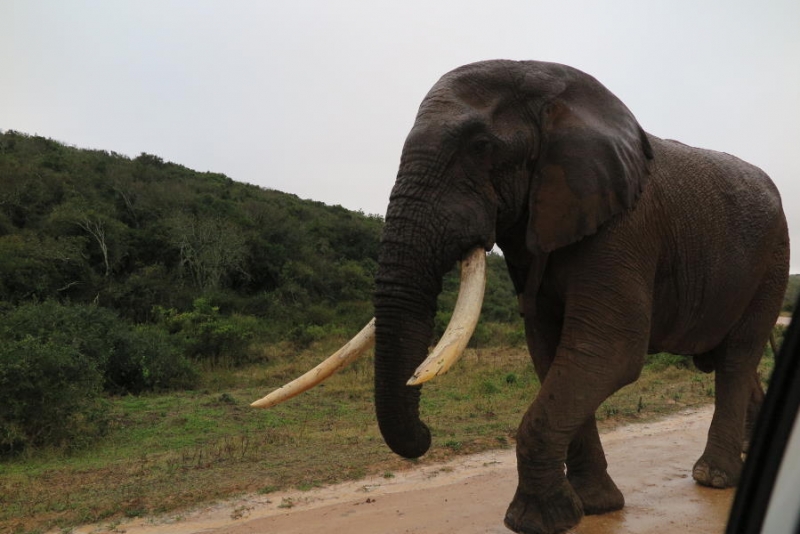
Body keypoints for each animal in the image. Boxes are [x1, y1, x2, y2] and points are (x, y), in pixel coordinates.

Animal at [255, 59, 788, 534]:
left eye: (482, 146)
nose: (426, 435)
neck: (554, 96)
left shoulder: (623, 227)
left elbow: (606, 353)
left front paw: (537, 521)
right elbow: (551, 353)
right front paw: (594, 507)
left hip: (773, 260)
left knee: (736, 359)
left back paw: (713, 477)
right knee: (727, 361)